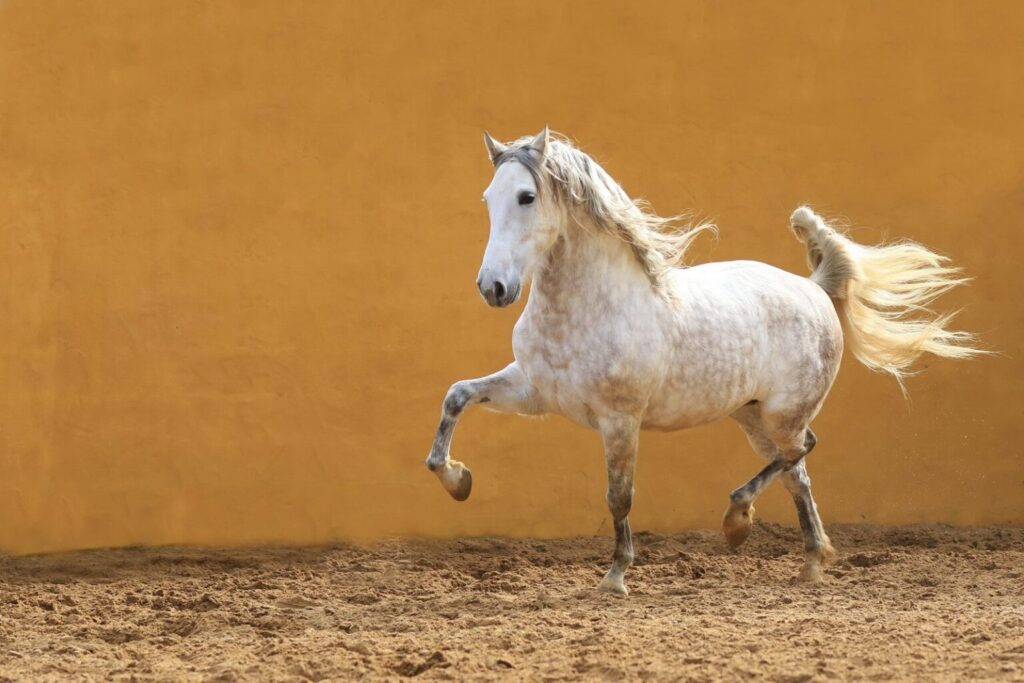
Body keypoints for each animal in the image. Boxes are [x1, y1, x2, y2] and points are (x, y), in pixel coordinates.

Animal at [421, 126, 974, 593]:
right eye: (488, 198)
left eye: (527, 197)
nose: (493, 288)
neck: (589, 307)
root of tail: (815, 288)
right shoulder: (534, 392)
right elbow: (456, 396)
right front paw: (457, 480)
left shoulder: (620, 419)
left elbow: (619, 496)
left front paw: (615, 579)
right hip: (751, 416)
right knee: (797, 472)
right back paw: (810, 562)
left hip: (783, 413)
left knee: (801, 451)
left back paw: (738, 523)